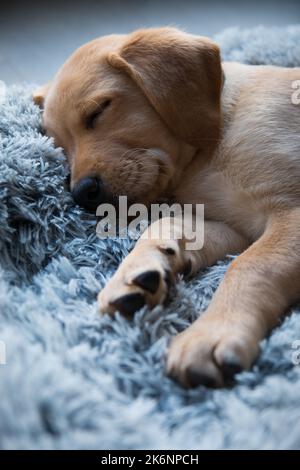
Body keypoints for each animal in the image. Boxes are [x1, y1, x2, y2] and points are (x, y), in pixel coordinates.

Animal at [34, 27, 300, 388]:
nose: (81, 193)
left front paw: (211, 333)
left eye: (98, 111)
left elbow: (251, 265)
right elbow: (167, 224)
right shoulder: (232, 226)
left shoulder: (290, 212)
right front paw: (137, 271)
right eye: (60, 146)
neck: (204, 156)